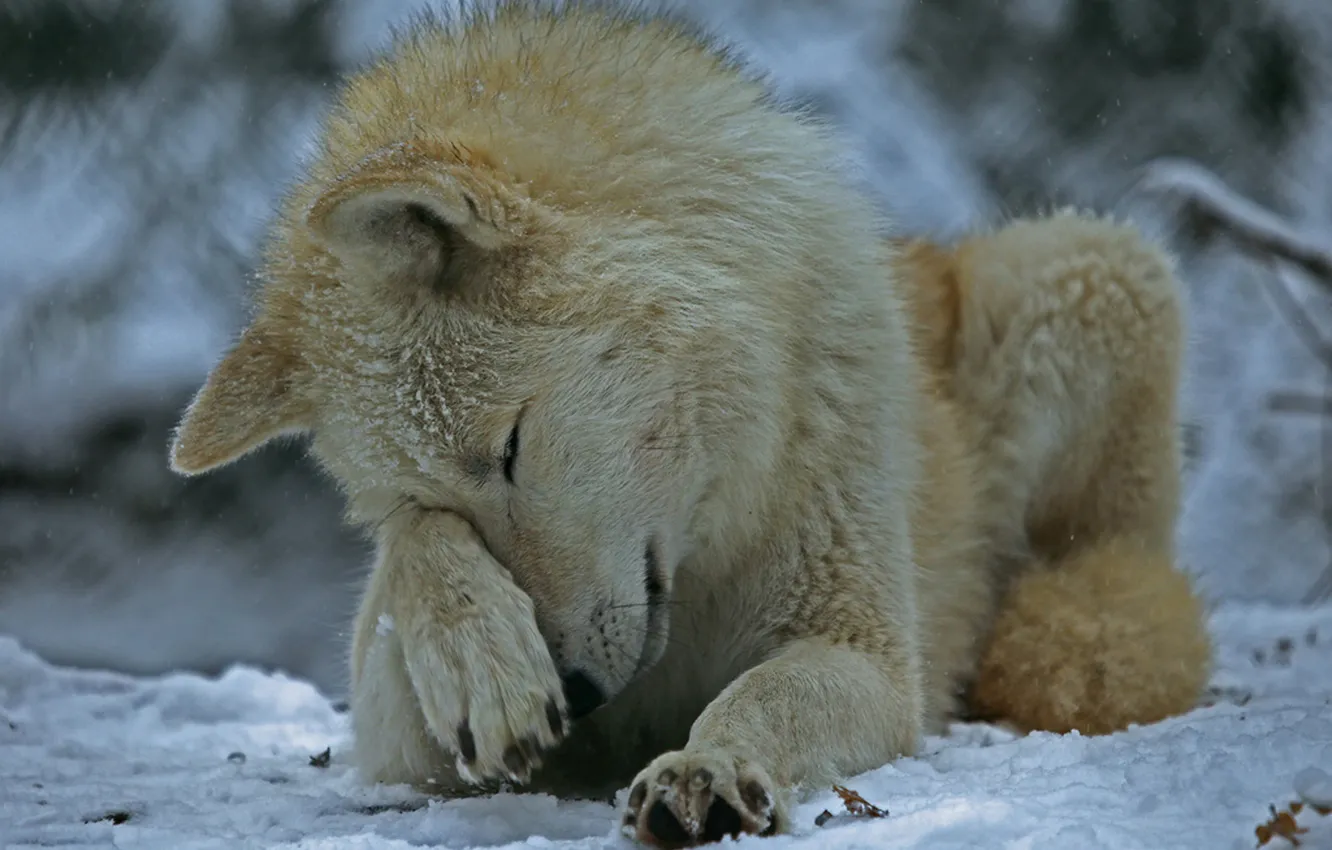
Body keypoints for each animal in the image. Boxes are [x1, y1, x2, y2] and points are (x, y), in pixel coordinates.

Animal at [168, 2, 1211, 845]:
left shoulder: (865, 652)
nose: (574, 695)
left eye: (509, 450)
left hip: (1091, 265)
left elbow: (759, 697)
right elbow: (409, 576)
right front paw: (486, 669)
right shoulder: (395, 742)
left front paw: (704, 770)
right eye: (425, 499)